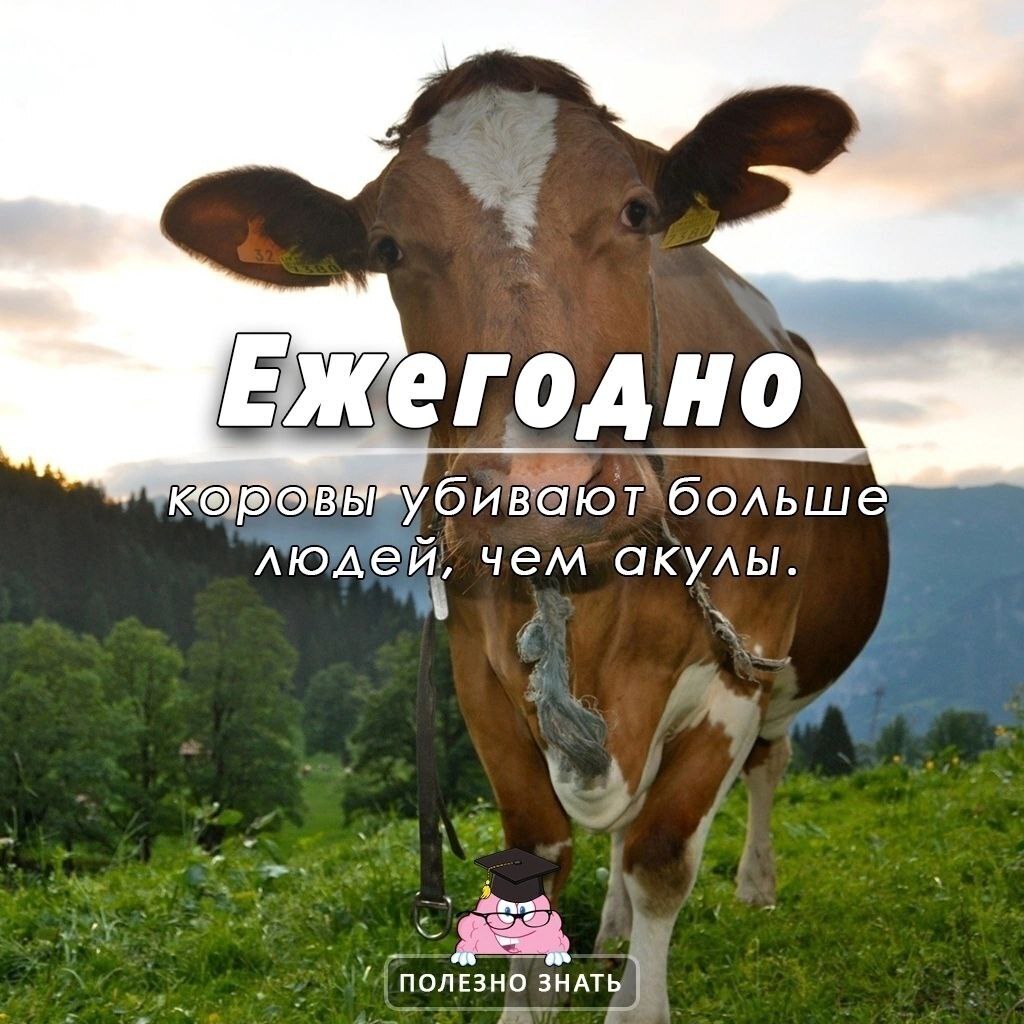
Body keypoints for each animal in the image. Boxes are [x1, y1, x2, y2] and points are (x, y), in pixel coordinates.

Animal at [162, 51, 888, 1023]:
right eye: (388, 250)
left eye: (637, 211)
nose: (544, 493)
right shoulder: (477, 675)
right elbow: (539, 859)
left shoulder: (744, 657)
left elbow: (662, 856)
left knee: (765, 766)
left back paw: (754, 888)